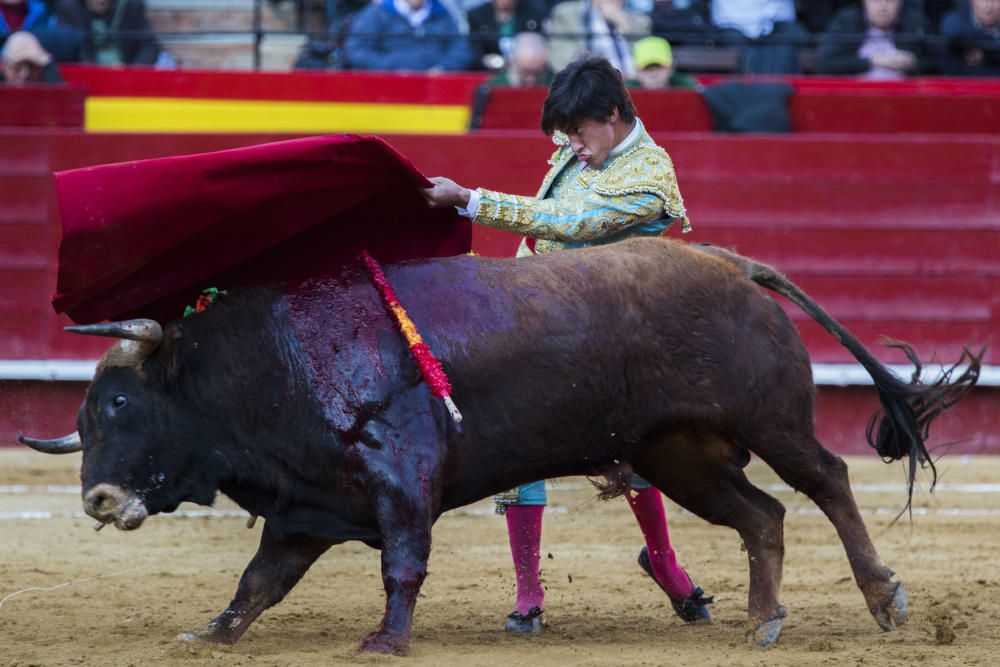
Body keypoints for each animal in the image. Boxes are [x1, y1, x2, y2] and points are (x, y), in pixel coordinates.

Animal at [19, 239, 980, 652]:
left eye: (117, 399)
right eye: (85, 414)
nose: (97, 497)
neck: (268, 361)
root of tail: (734, 264)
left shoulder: (401, 477)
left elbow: (402, 562)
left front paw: (385, 641)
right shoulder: (306, 506)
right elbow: (260, 580)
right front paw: (207, 633)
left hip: (768, 421)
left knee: (828, 482)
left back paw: (885, 597)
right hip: (679, 453)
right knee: (762, 513)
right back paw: (762, 616)